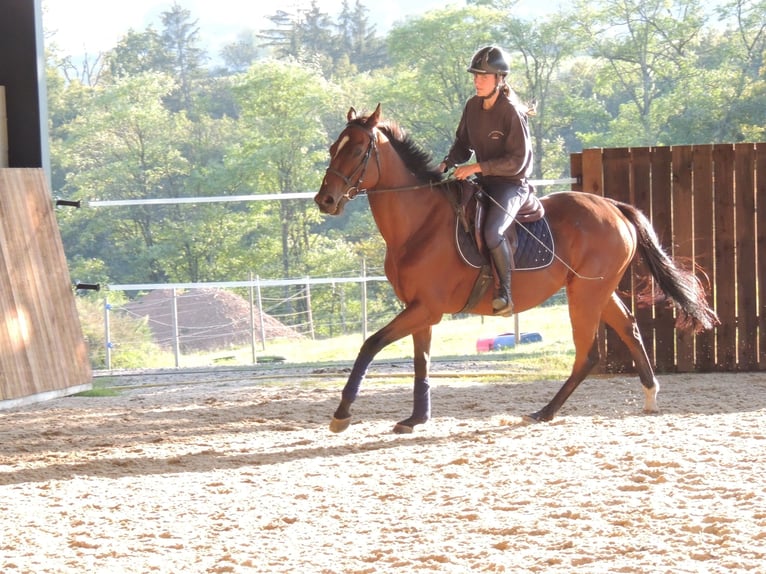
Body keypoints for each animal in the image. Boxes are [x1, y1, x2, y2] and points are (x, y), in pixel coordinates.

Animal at [316, 104, 724, 436]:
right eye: (334, 148)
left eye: (357, 150)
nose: (325, 200)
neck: (421, 223)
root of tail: (612, 206)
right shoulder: (421, 312)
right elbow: (421, 364)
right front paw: (417, 418)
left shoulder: (425, 309)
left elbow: (370, 345)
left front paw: (342, 414)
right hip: (597, 290)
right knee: (630, 329)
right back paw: (649, 395)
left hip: (585, 294)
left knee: (588, 354)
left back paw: (545, 412)